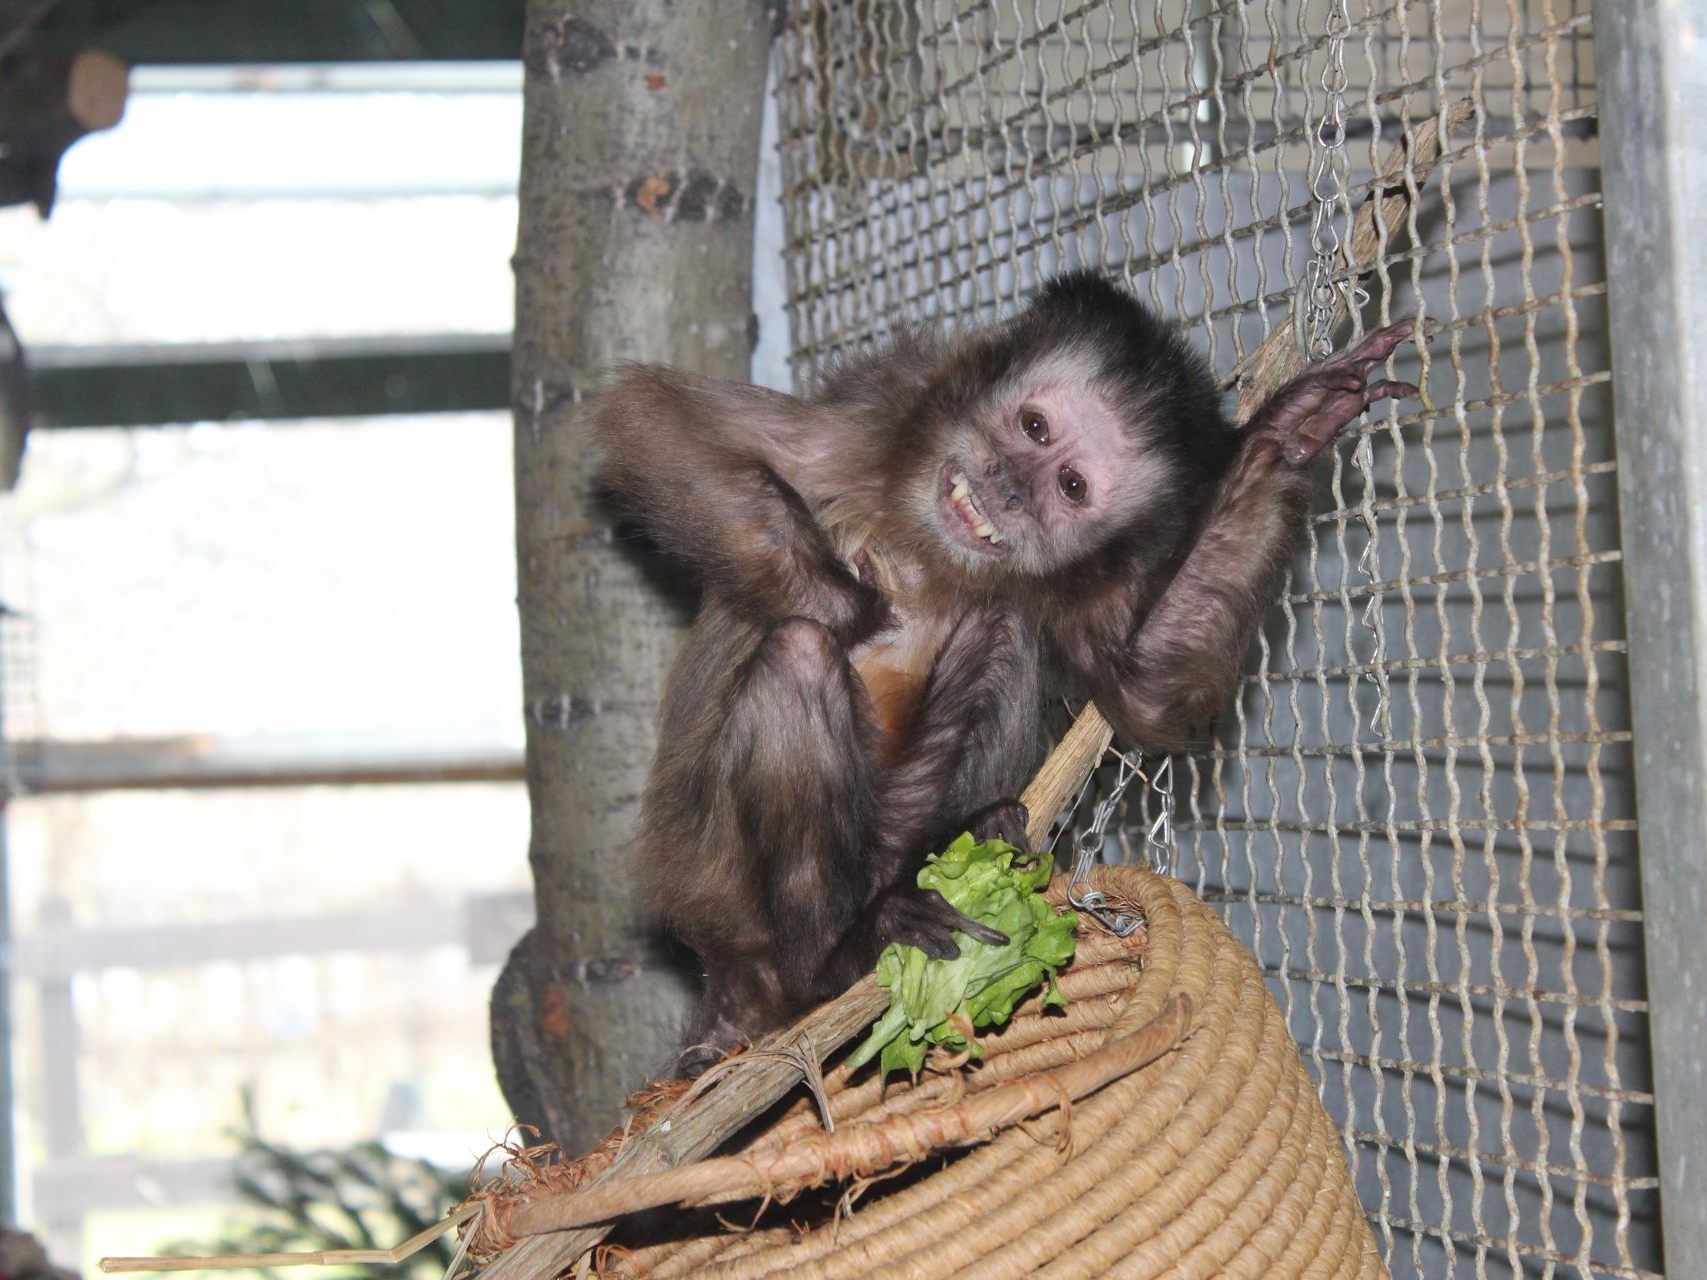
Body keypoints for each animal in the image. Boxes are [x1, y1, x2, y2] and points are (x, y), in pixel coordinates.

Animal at [594, 273, 1420, 1064]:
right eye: (1033, 427)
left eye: (1070, 486)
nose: (1008, 485)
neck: (934, 558)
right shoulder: (877, 414)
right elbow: (648, 421)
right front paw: (849, 606)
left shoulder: (1086, 579)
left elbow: (1145, 694)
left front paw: (1283, 436)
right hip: (717, 879)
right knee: (798, 654)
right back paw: (823, 965)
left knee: (1002, 624)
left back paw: (947, 855)